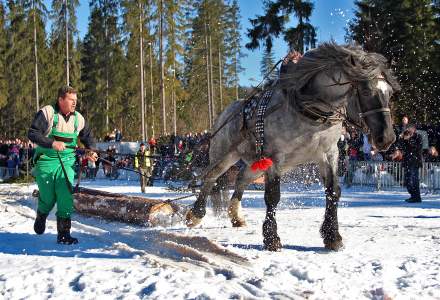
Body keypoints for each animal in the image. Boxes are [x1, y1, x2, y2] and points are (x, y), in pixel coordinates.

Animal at [184, 42, 400, 251]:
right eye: (366, 91)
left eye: (389, 93)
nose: (387, 138)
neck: (309, 109)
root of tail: (225, 112)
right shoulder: (275, 157)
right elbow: (273, 196)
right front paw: (271, 238)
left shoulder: (328, 153)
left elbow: (333, 191)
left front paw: (333, 236)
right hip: (225, 154)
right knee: (211, 178)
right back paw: (196, 214)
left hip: (256, 163)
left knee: (241, 179)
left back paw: (236, 215)